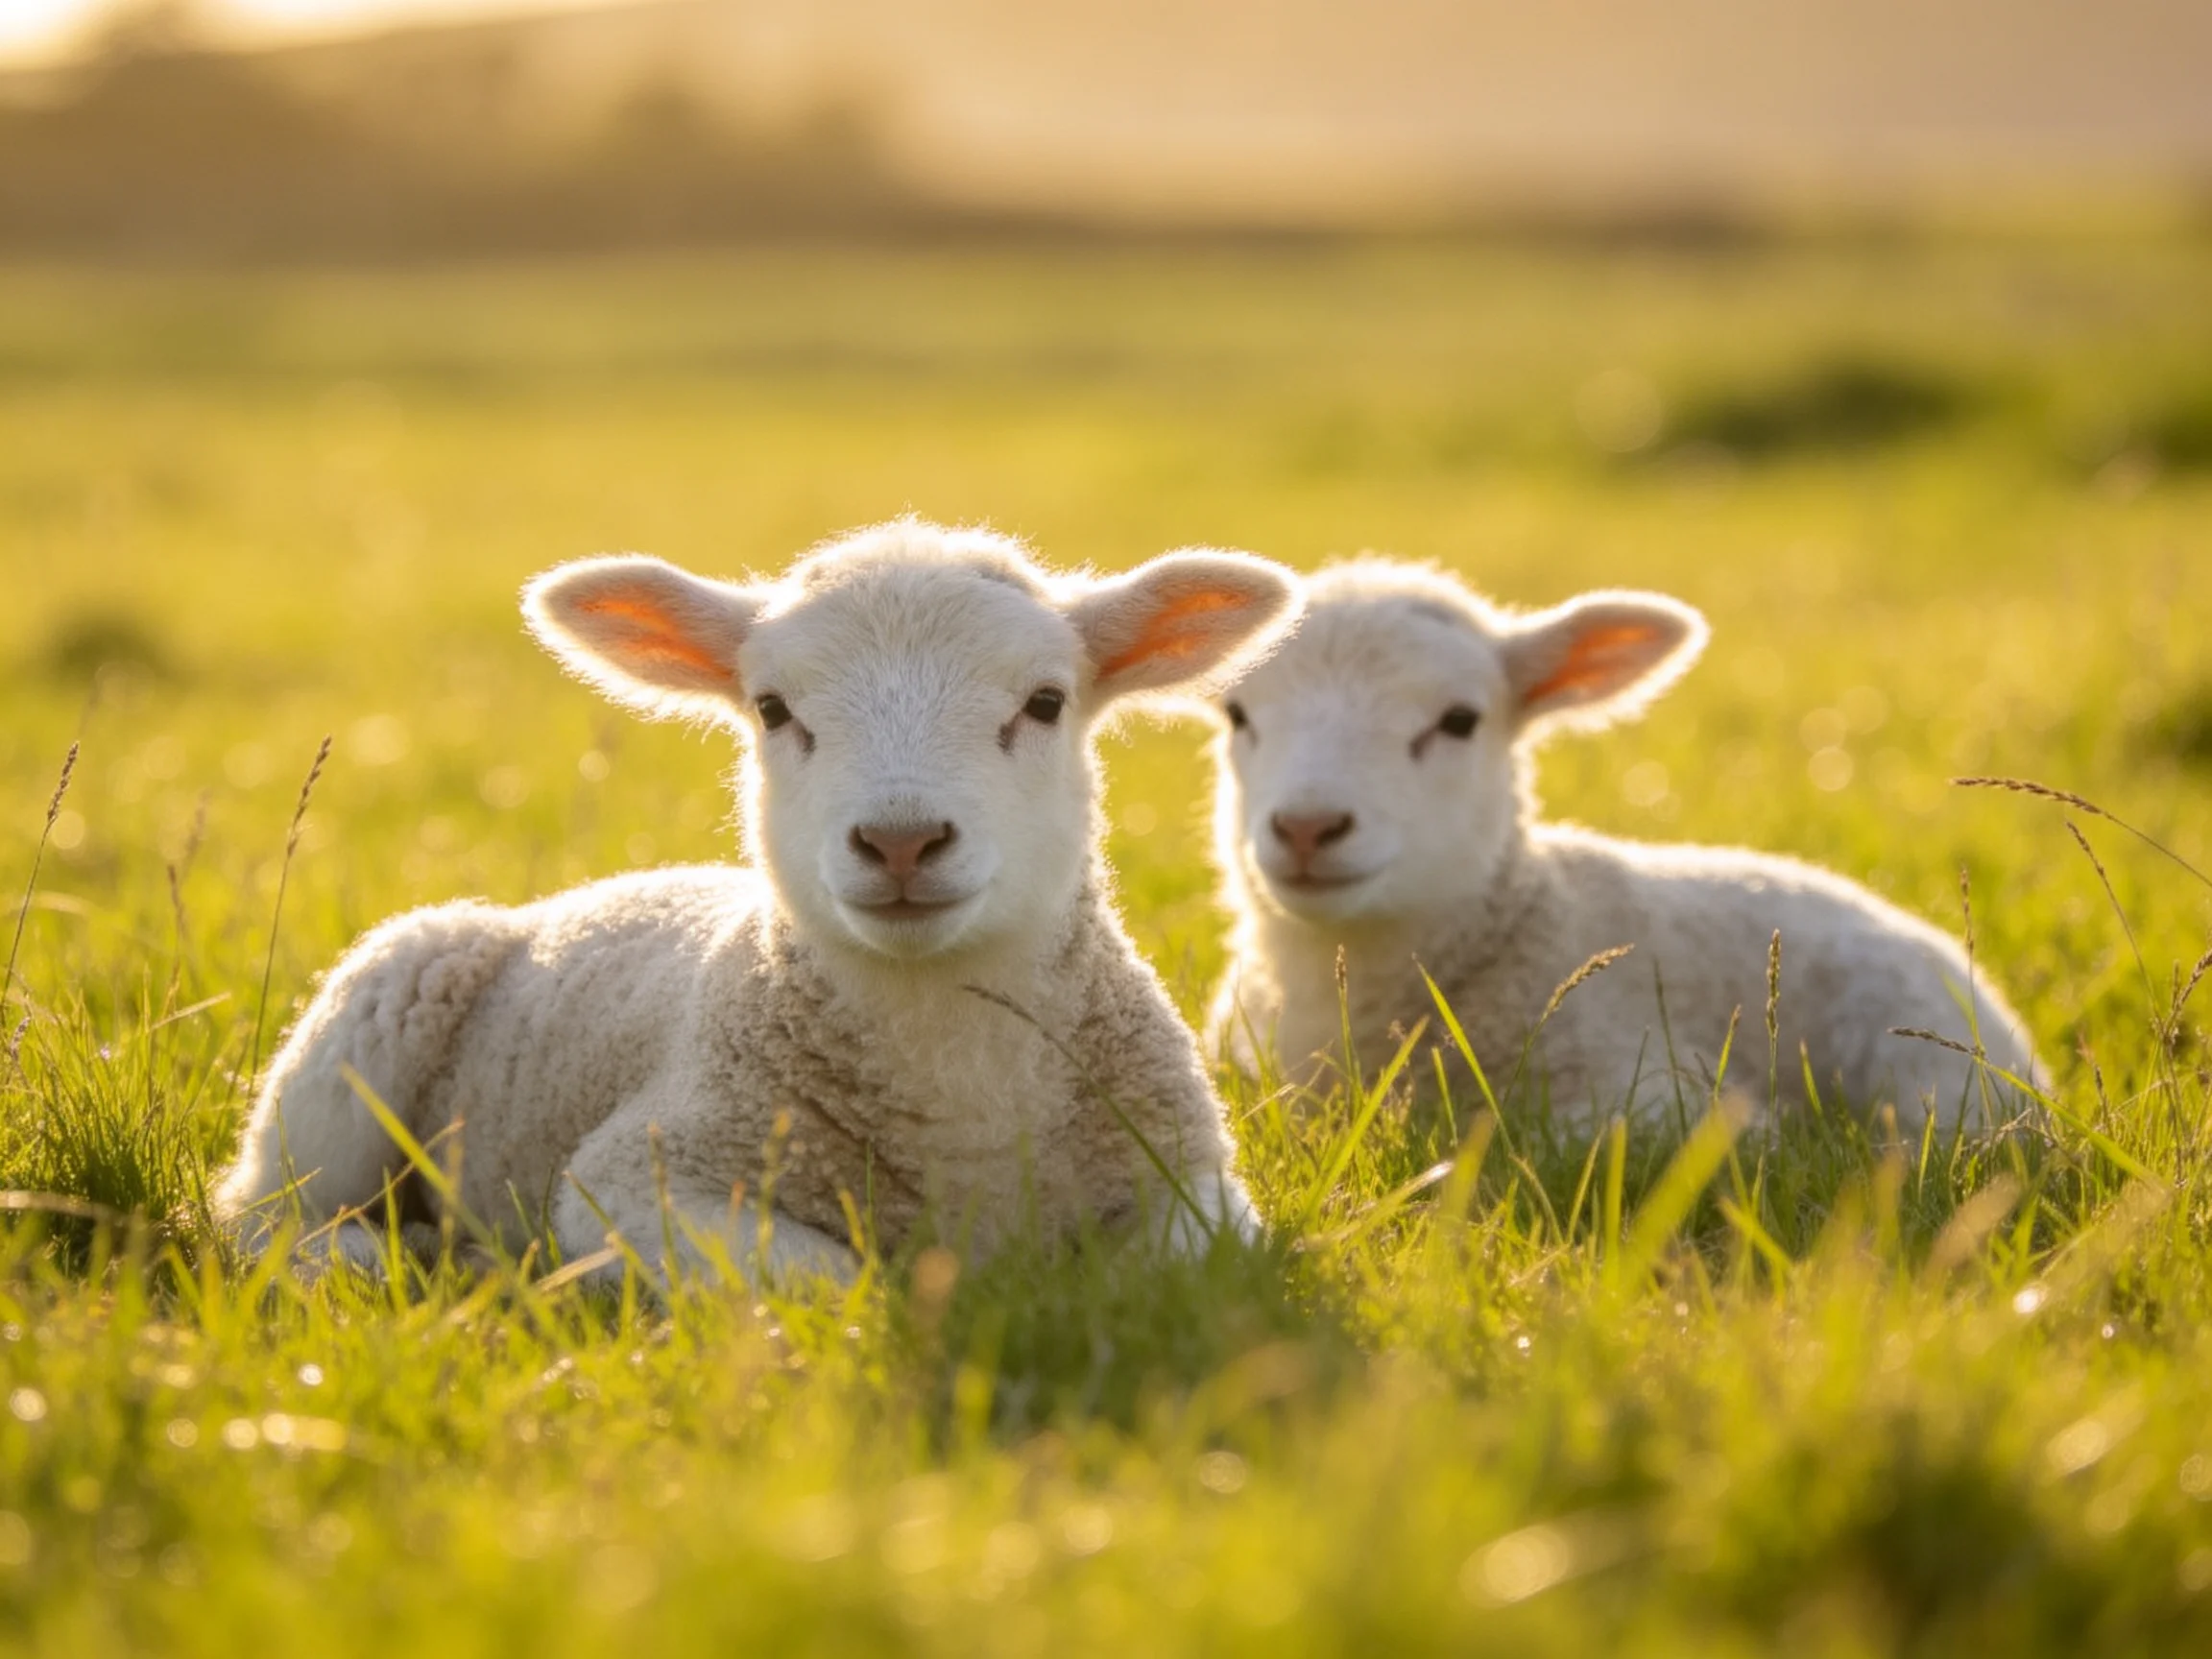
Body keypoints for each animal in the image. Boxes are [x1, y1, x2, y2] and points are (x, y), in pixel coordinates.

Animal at [216, 519, 1300, 1283]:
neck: (955, 1082)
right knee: (258, 1215)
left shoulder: (1197, 1186)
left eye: (1044, 703)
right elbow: (837, 1281)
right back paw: (392, 1255)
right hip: (367, 1019)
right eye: (775, 711)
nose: (901, 841)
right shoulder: (637, 1175)